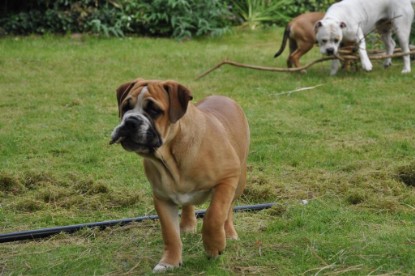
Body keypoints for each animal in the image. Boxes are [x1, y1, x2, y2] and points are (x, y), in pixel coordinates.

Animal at [109, 78, 250, 272]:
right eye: (125, 107)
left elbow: (214, 215)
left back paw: (228, 232)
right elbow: (170, 234)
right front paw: (169, 262)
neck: (169, 156)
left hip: (239, 181)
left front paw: (214, 246)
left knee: (228, 210)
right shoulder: (162, 198)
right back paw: (187, 224)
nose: (131, 121)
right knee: (188, 204)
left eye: (154, 110)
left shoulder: (227, 179)